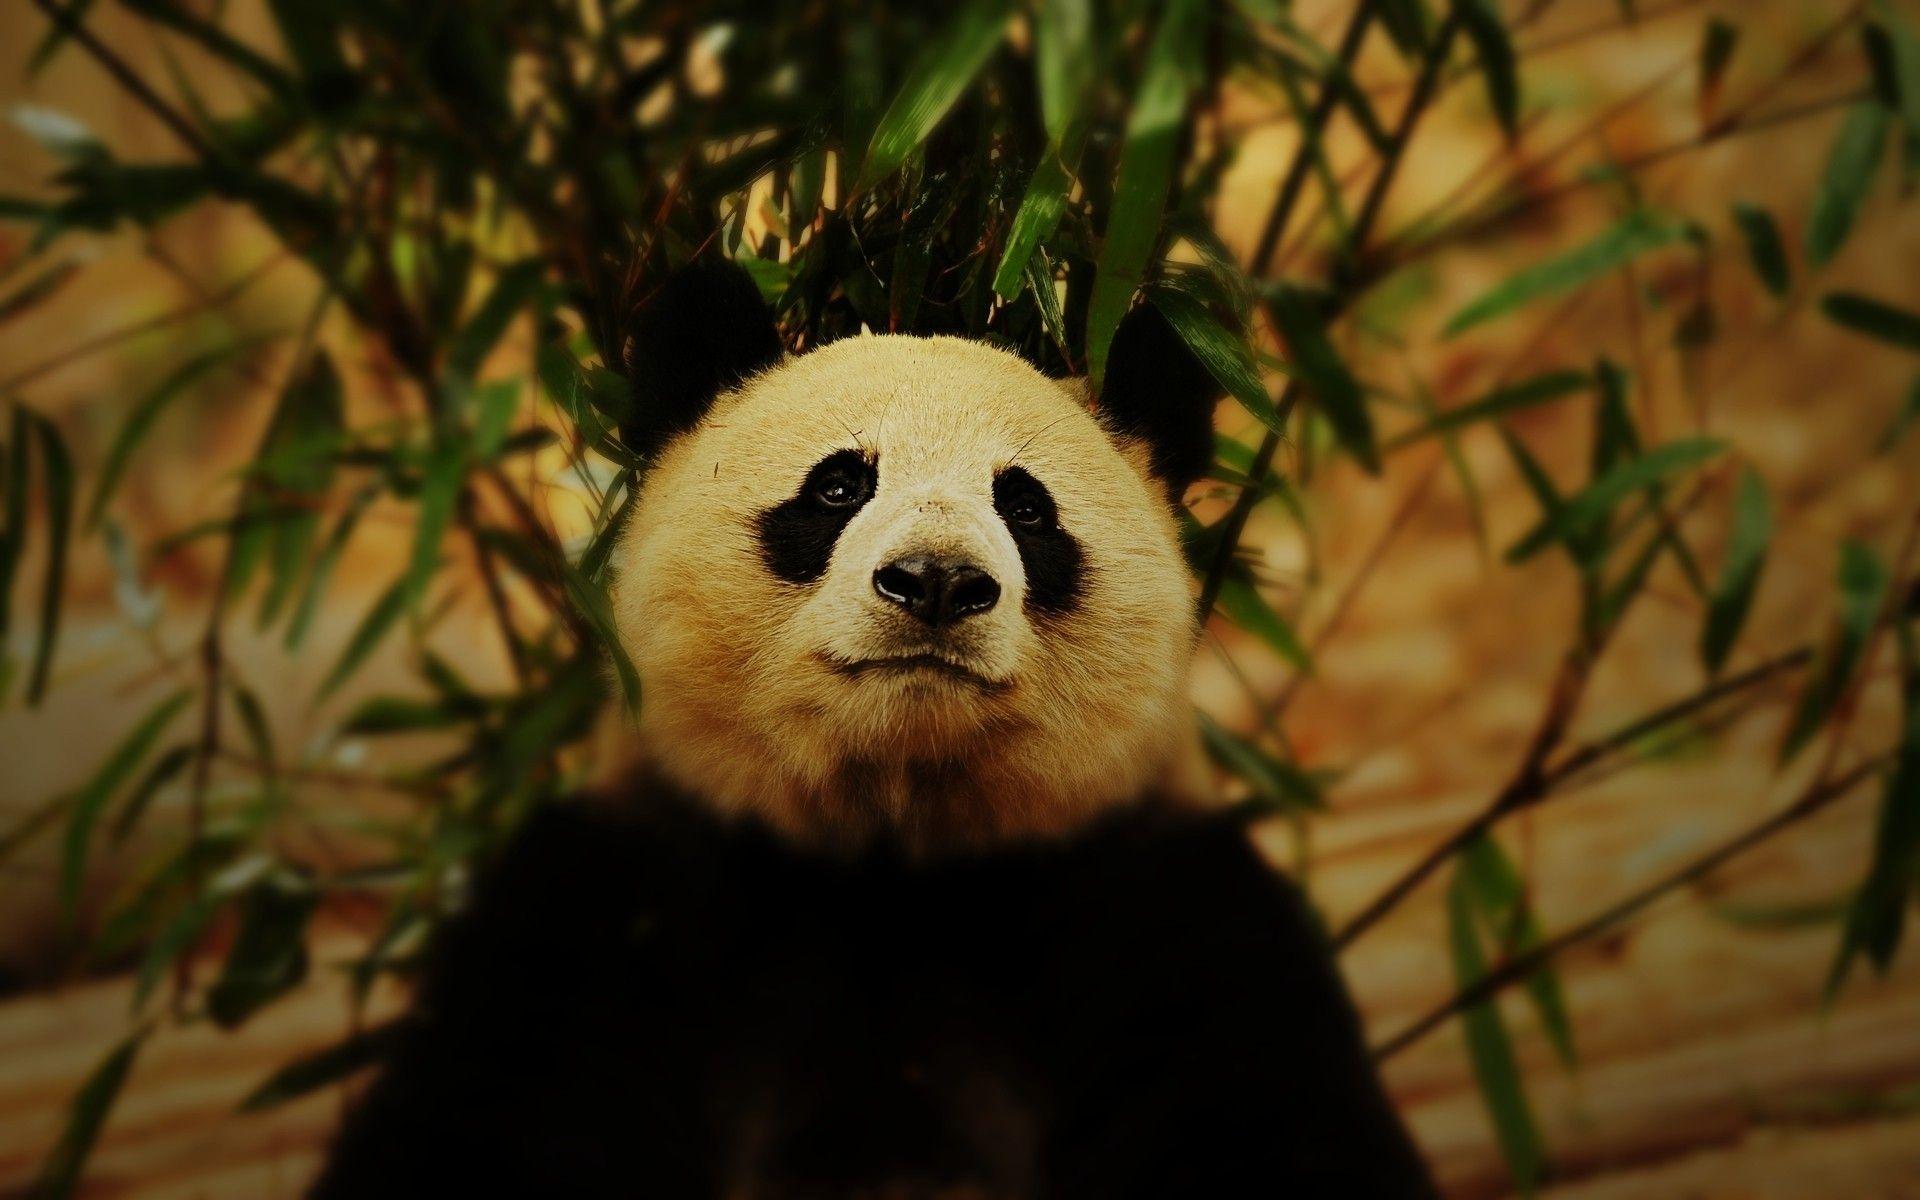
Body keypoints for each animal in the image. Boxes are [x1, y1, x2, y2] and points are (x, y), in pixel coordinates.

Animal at [311, 259, 1436, 1199]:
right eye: (839, 484)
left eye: (1028, 509)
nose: (936, 581)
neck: (895, 842)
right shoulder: (617, 903)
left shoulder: (1158, 907)